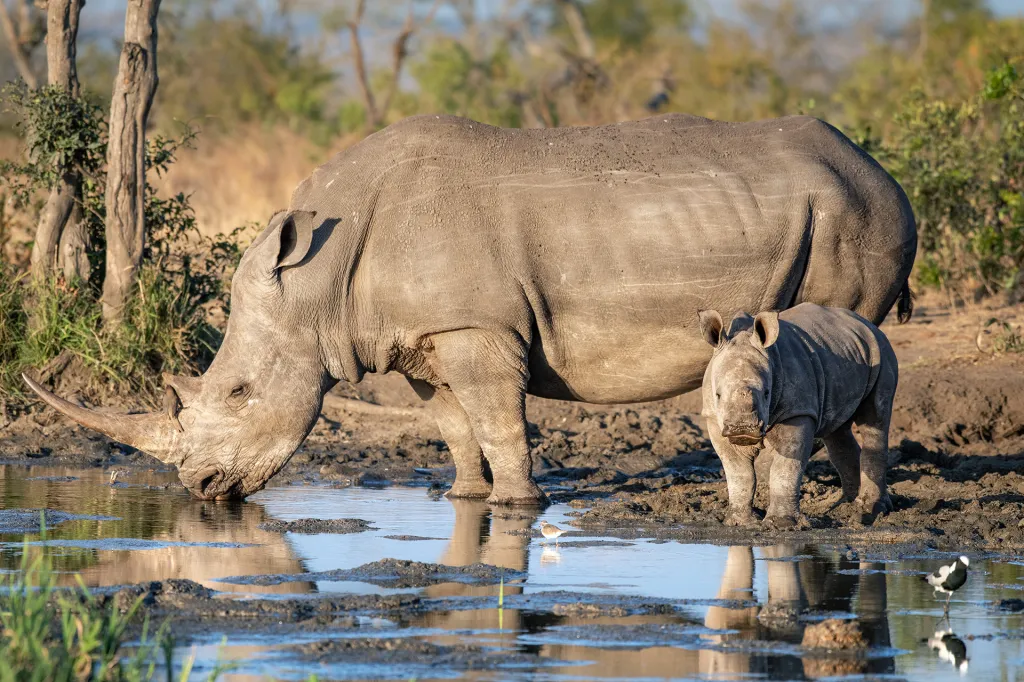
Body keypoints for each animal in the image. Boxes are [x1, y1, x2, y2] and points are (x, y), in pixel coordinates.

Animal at [24, 113, 916, 505]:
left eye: (240, 392)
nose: (202, 486)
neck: (317, 282)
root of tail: (883, 171)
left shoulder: (476, 329)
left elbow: (498, 420)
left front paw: (518, 504)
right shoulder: (417, 337)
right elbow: (453, 425)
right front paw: (463, 498)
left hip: (855, 213)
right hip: (845, 204)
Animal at [698, 303, 898, 528]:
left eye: (767, 393)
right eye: (718, 395)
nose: (742, 429)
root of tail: (868, 324)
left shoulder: (798, 411)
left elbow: (786, 468)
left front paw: (781, 524)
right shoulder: (713, 418)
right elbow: (739, 472)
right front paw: (740, 522)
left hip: (882, 351)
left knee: (875, 420)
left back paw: (872, 509)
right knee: (837, 431)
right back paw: (849, 504)